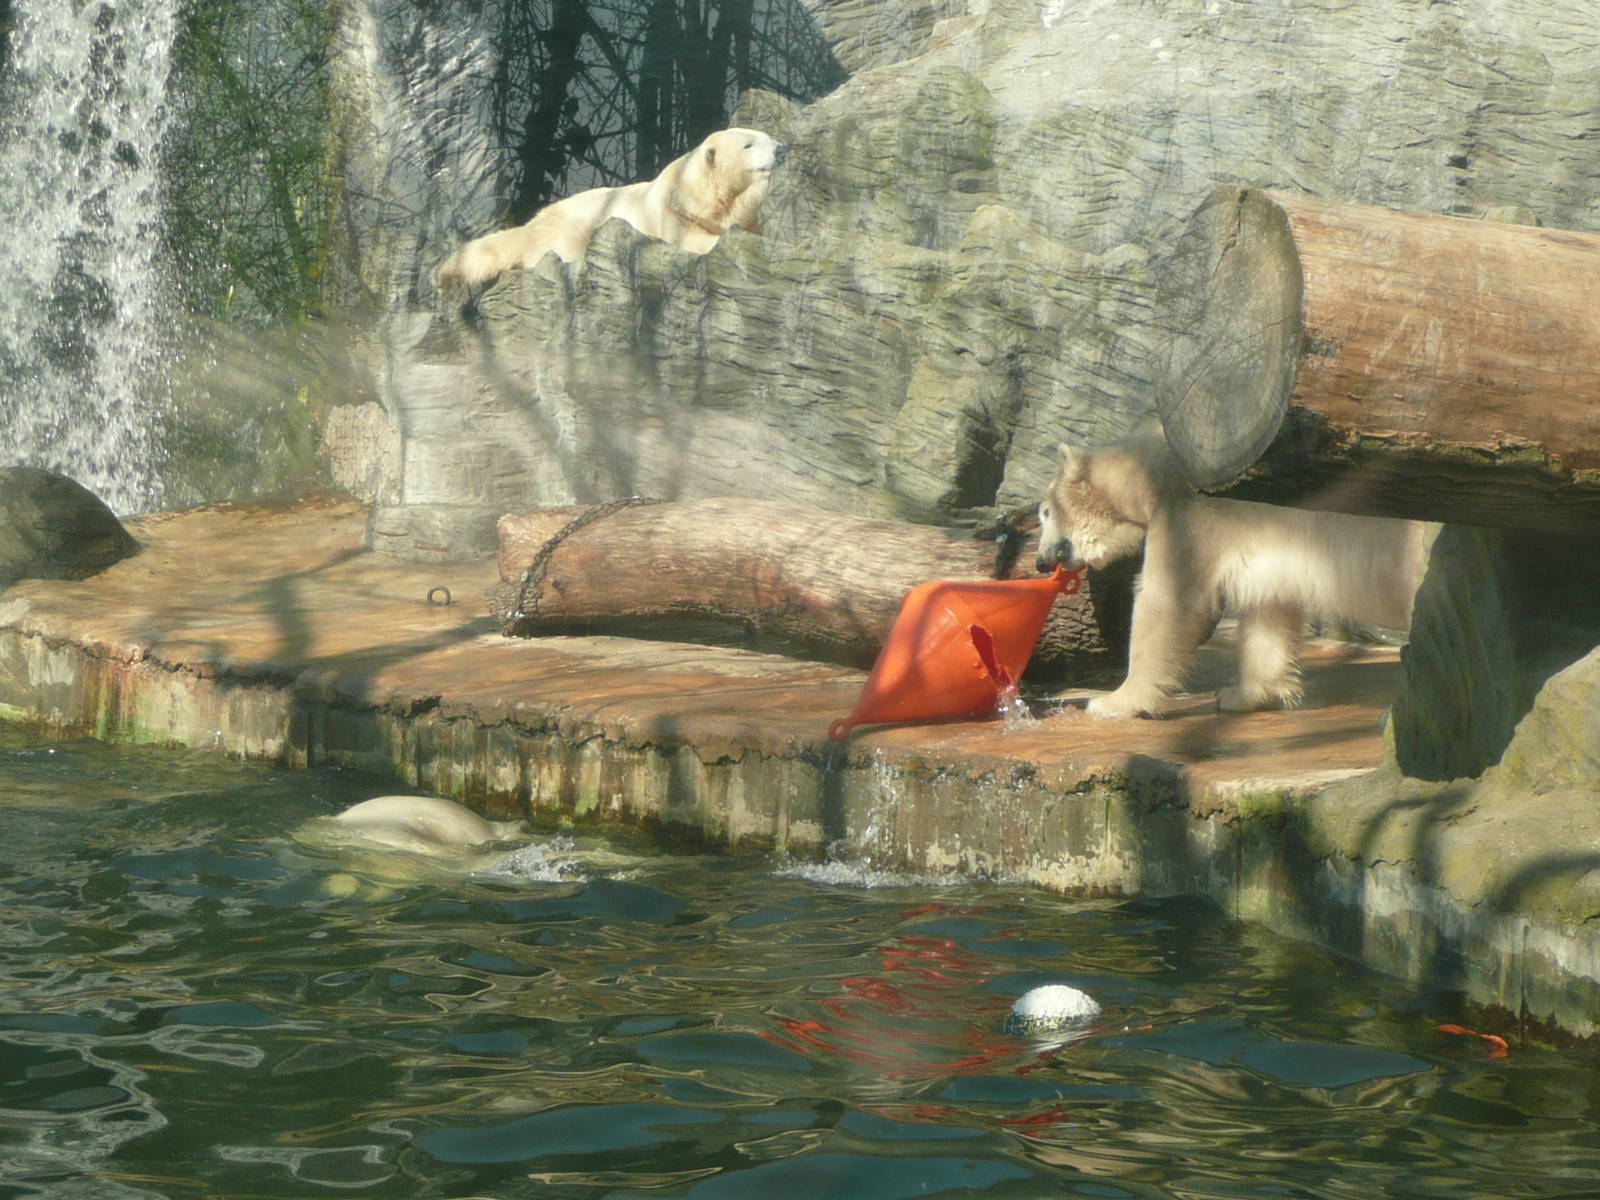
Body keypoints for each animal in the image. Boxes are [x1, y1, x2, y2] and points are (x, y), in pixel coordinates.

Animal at [436, 126, 786, 296]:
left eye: (768, 136)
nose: (781, 148)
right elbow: (692, 240)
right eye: (748, 145)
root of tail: (532, 224)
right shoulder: (674, 213)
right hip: (575, 225)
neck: (703, 194)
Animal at [1035, 435, 1436, 719]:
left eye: (1044, 512)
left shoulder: (1191, 517)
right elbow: (1268, 607)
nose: (1040, 561)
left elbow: (1166, 600)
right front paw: (1242, 695)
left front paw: (1113, 703)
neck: (1151, 475)